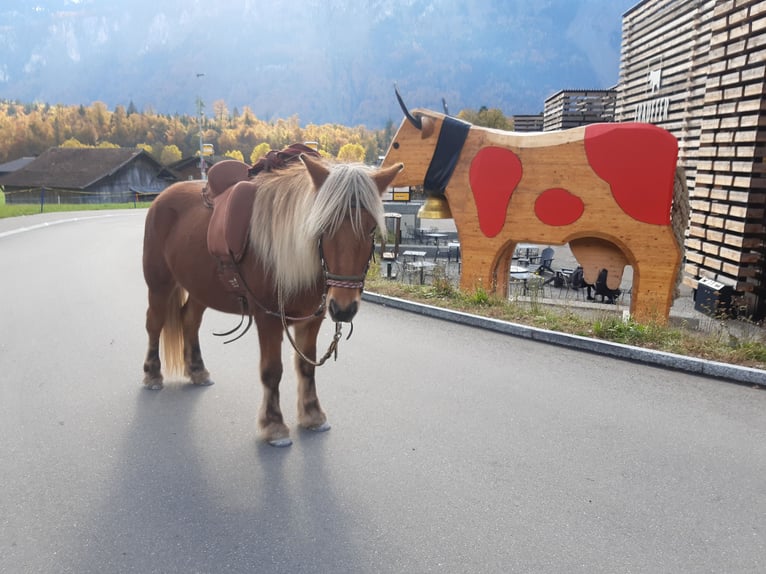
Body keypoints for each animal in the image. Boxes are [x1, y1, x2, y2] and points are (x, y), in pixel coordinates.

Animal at [146, 155, 408, 448]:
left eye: (372, 228)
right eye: (323, 226)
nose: (343, 308)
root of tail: (162, 197)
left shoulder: (312, 318)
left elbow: (306, 365)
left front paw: (312, 415)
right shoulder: (268, 318)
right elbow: (272, 371)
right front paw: (274, 426)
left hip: (199, 287)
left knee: (190, 321)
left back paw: (197, 370)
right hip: (159, 284)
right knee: (154, 324)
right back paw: (153, 374)